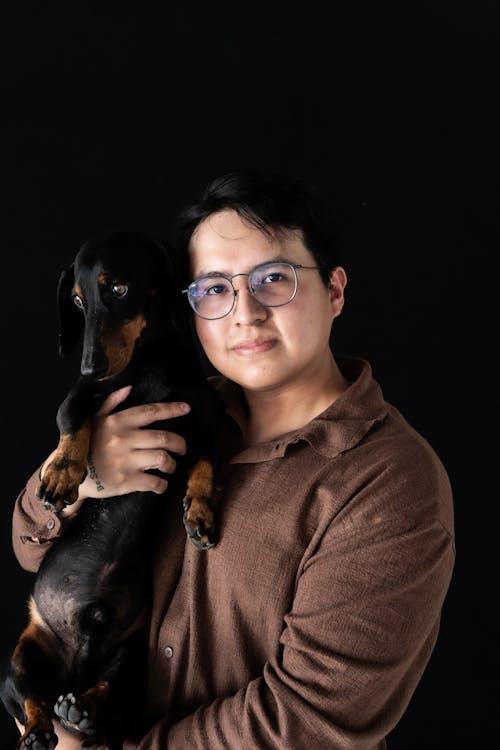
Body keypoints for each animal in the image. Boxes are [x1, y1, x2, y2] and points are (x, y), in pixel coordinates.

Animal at [0, 232, 223, 748]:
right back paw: (40, 727)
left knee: (108, 691)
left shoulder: (202, 420)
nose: (89, 366)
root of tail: (75, 670)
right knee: (30, 695)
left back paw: (84, 712)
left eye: (118, 288)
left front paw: (200, 512)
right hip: (22, 656)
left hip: (133, 654)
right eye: (77, 301)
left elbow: (207, 462)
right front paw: (63, 472)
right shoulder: (89, 395)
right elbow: (71, 415)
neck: (150, 362)